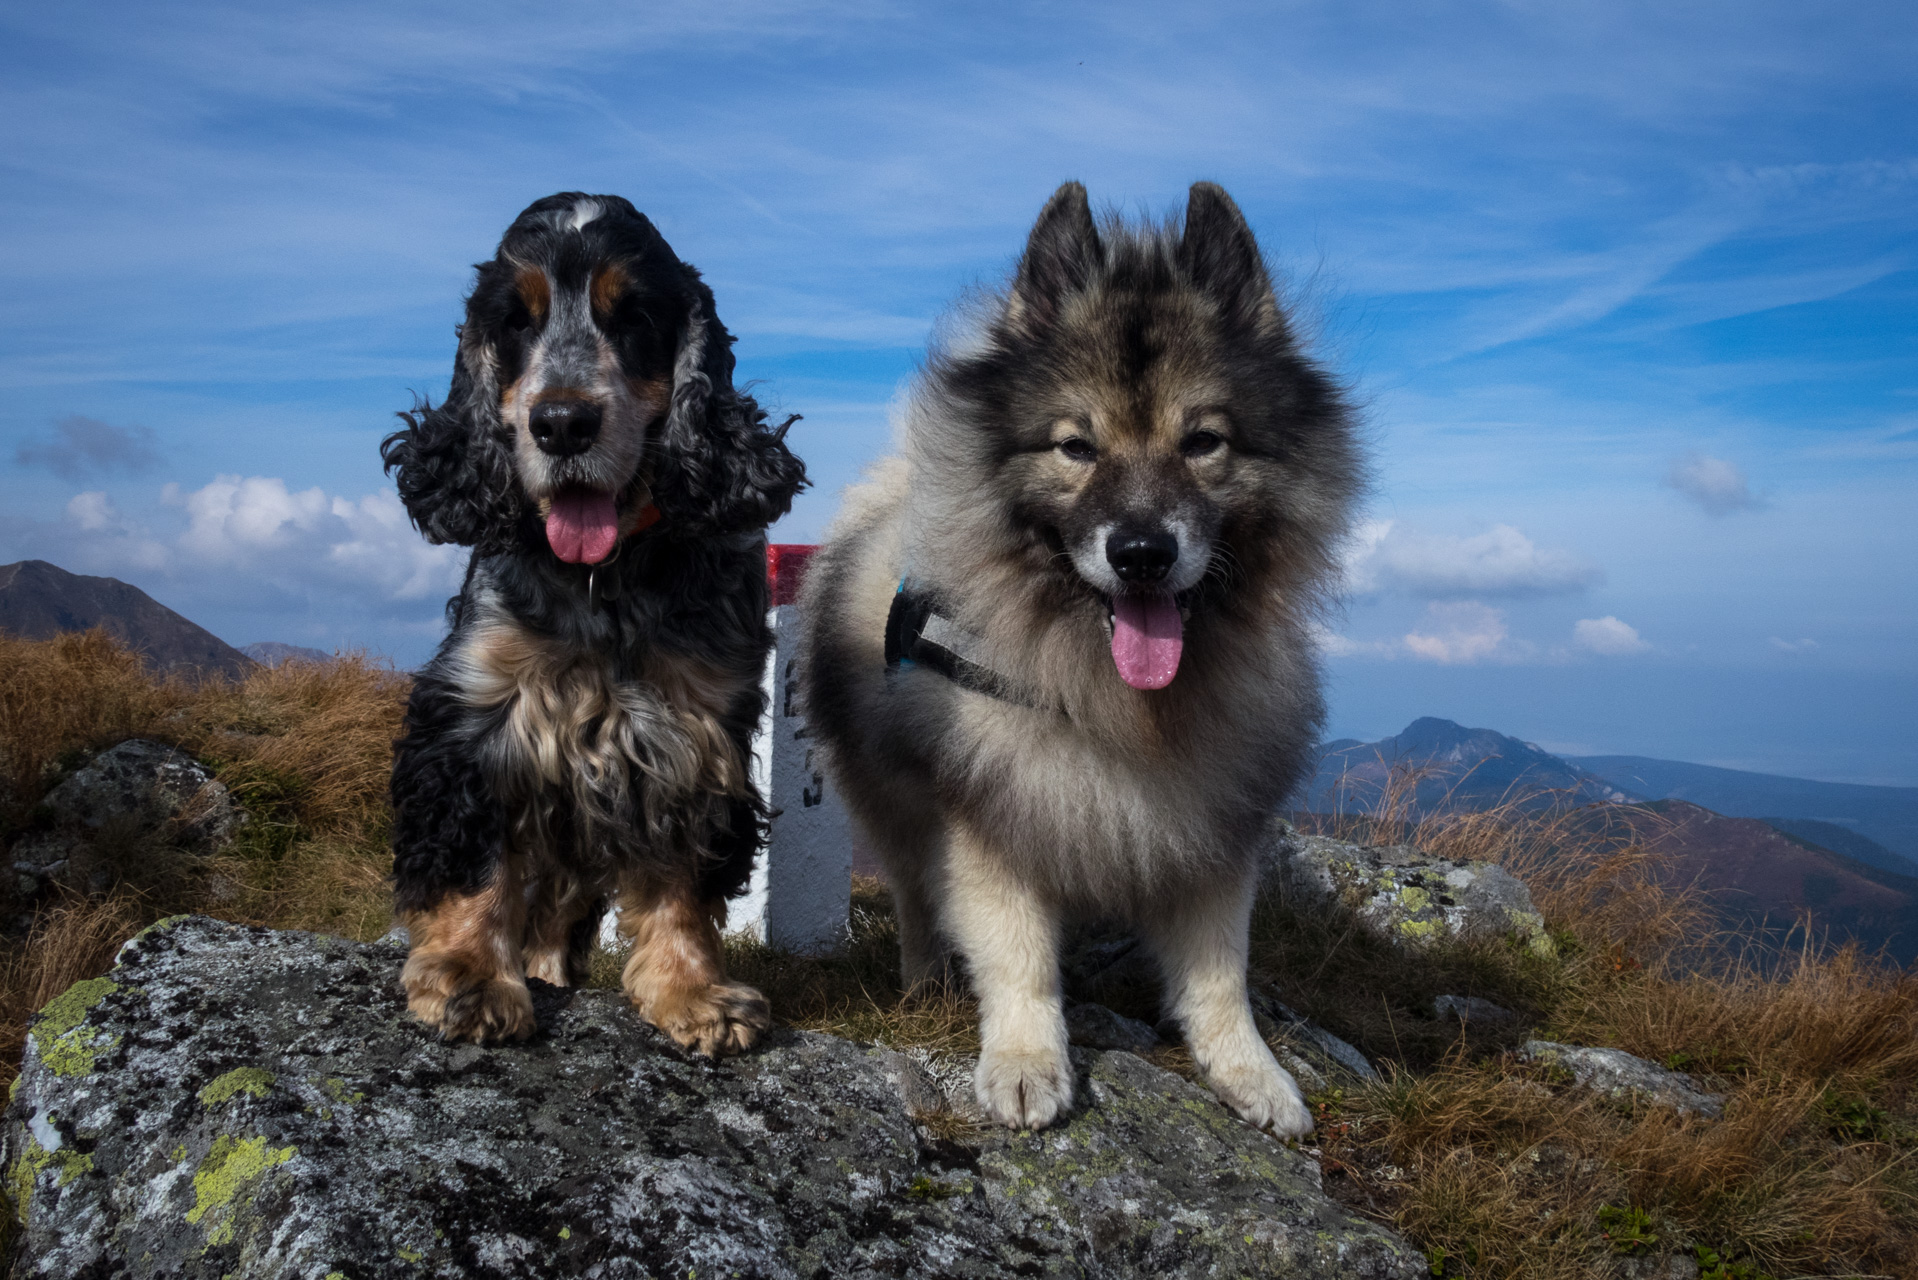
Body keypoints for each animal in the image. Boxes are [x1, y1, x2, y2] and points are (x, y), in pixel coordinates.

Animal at [381, 189, 801, 1051]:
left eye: (632, 314)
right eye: (515, 321)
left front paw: (693, 992)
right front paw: (470, 978)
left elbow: (681, 877)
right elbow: (477, 865)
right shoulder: (477, 715)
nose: (563, 423)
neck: (603, 582)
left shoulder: (693, 730)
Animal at [794, 185, 1365, 1136]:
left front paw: (1248, 1071)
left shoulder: (1214, 811)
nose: (1140, 554)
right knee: (914, 894)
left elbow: (1220, 972)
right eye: (1075, 447)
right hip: (891, 798)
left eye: (1202, 442)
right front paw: (1027, 1061)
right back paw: (924, 984)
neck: (1116, 694)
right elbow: (1017, 953)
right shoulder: (990, 812)